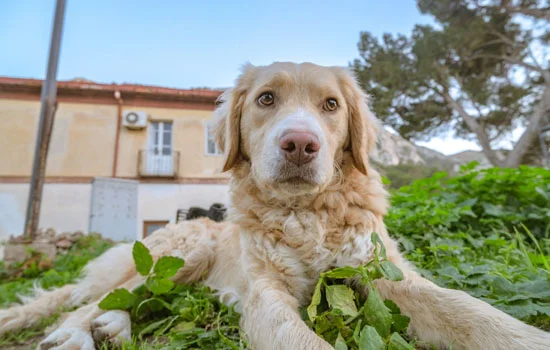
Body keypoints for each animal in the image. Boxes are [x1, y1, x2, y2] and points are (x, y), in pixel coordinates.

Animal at [1, 61, 550, 348]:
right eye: (266, 99)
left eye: (331, 105)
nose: (300, 145)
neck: (307, 213)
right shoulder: (267, 295)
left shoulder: (384, 274)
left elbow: (473, 312)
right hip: (184, 252)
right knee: (96, 299)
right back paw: (76, 334)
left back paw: (113, 326)